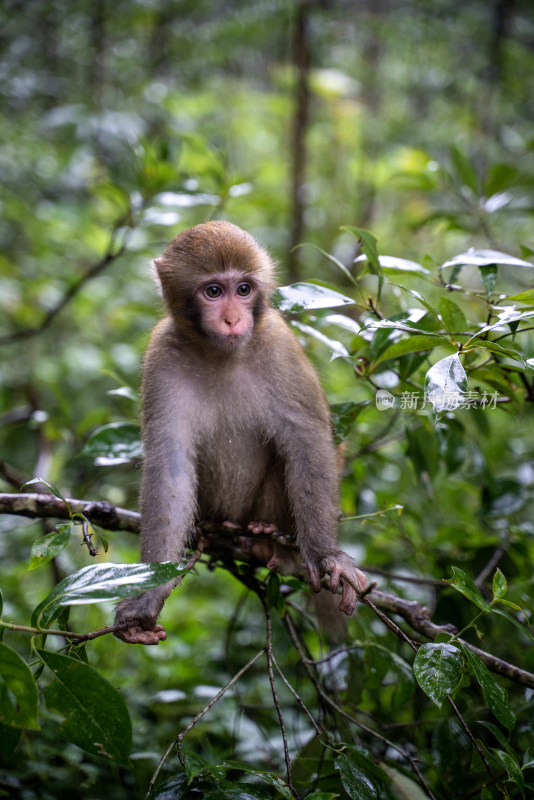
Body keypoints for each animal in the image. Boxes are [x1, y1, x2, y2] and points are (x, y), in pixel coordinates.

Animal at [115, 219, 368, 644]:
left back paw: (273, 547)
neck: (222, 354)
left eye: (244, 289)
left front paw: (326, 555)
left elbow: (307, 441)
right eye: (214, 291)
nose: (233, 319)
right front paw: (148, 597)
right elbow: (170, 467)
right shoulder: (161, 355)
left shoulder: (278, 345)